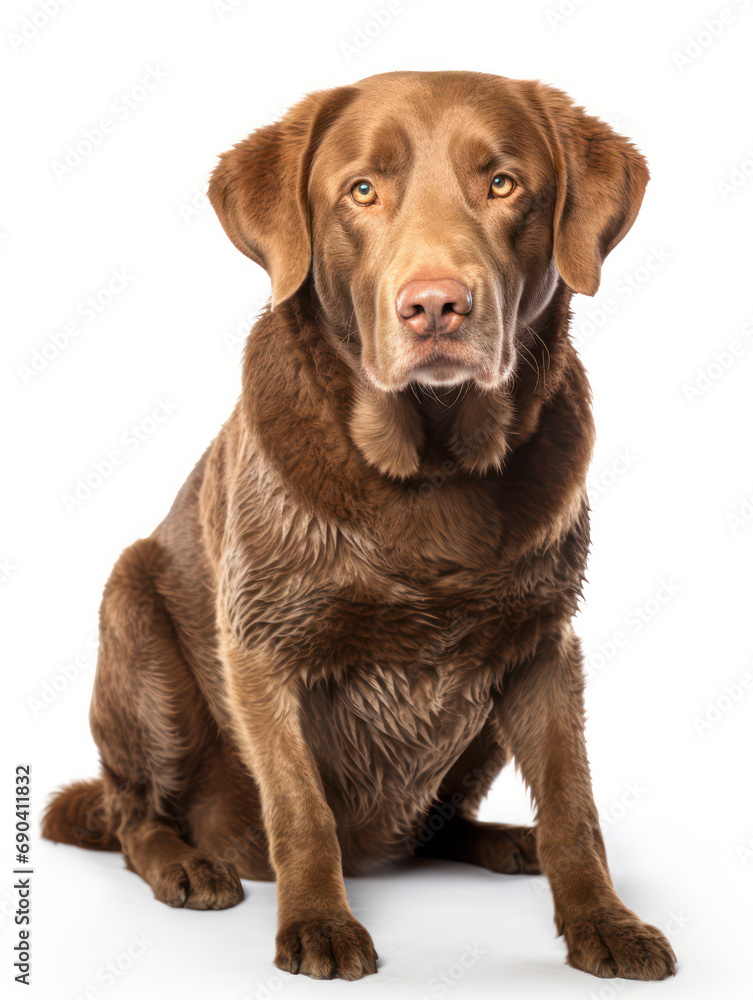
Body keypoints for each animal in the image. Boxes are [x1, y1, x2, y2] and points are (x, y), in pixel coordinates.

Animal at [42, 72, 676, 984]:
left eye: (502, 183)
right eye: (362, 190)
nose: (436, 305)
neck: (432, 469)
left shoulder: (545, 645)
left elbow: (571, 805)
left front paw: (604, 920)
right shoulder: (260, 649)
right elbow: (300, 809)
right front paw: (318, 923)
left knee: (438, 825)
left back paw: (502, 842)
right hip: (136, 626)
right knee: (130, 812)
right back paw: (185, 865)